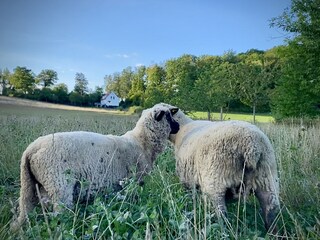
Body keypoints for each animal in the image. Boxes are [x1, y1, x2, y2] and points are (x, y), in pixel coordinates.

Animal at [10, 104, 180, 231]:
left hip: (30, 186)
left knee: (25, 213)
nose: (178, 126)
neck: (142, 142)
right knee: (59, 217)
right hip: (59, 187)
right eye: (168, 116)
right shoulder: (136, 181)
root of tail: (31, 150)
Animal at [157, 102, 280, 232]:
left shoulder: (186, 180)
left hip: (215, 182)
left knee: (221, 214)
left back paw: (222, 230)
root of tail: (251, 147)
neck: (182, 131)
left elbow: (190, 197)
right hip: (267, 179)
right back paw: (272, 232)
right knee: (270, 209)